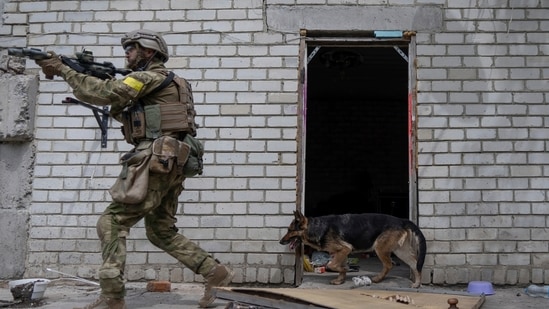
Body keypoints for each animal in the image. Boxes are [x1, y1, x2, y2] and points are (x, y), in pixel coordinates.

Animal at [280, 209, 426, 286]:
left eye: (289, 230)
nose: (280, 241)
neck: (316, 227)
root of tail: (401, 220)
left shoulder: (345, 249)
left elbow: (331, 265)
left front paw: (344, 270)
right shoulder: (341, 252)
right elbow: (338, 266)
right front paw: (340, 279)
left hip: (380, 248)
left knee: (389, 265)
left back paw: (378, 278)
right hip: (400, 251)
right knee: (415, 263)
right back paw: (417, 283)